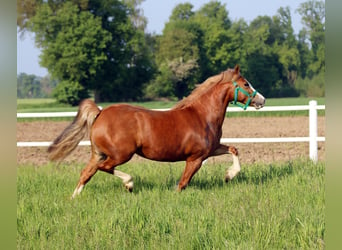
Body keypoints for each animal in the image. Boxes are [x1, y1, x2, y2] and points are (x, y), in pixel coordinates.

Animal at [47, 65, 264, 198]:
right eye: (246, 84)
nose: (262, 100)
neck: (202, 116)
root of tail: (100, 113)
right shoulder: (195, 158)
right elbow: (182, 183)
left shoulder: (212, 149)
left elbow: (234, 149)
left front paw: (229, 175)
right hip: (120, 154)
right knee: (104, 168)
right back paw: (129, 184)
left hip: (98, 153)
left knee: (86, 173)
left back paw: (73, 198)